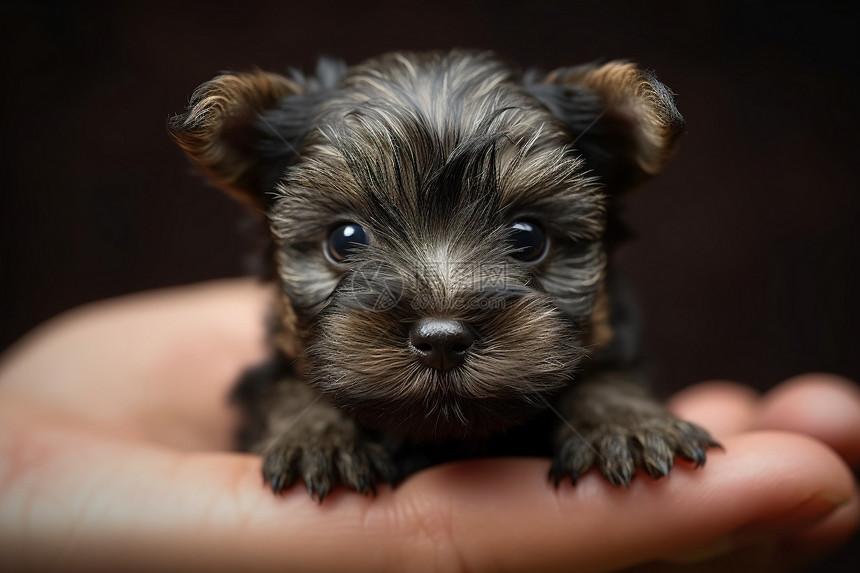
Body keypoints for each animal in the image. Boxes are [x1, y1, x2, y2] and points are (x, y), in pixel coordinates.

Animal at [168, 49, 720, 498]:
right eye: (345, 239)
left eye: (528, 237)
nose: (441, 339)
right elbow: (284, 386)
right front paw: (316, 437)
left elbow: (605, 372)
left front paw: (628, 423)